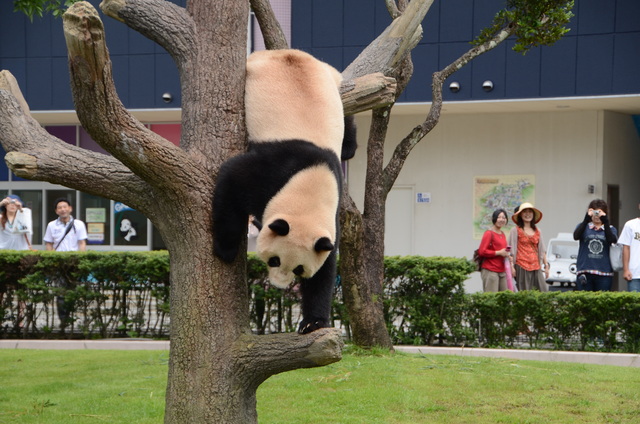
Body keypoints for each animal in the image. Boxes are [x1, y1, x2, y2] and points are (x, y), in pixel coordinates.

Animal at [214, 48, 356, 334]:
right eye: (274, 260)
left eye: (300, 269)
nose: (279, 285)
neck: (309, 186)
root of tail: (285, 51)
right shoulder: (274, 171)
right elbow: (231, 178)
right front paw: (226, 248)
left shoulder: (329, 221)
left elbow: (325, 271)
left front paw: (313, 322)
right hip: (253, 68)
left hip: (330, 78)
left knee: (346, 112)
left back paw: (349, 147)